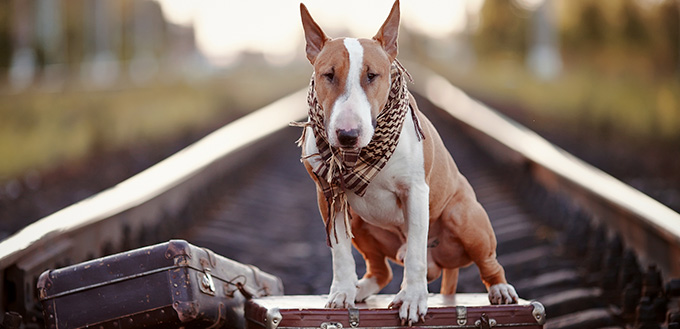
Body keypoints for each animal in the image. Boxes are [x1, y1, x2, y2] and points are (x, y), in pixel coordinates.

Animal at [294, 0, 516, 322]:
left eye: (372, 75)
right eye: (328, 75)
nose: (347, 135)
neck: (361, 157)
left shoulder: (415, 192)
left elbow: (414, 254)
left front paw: (412, 299)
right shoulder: (328, 194)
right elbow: (340, 250)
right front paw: (341, 292)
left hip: (463, 217)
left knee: (487, 262)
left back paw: (500, 289)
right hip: (358, 220)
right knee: (381, 270)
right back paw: (360, 290)